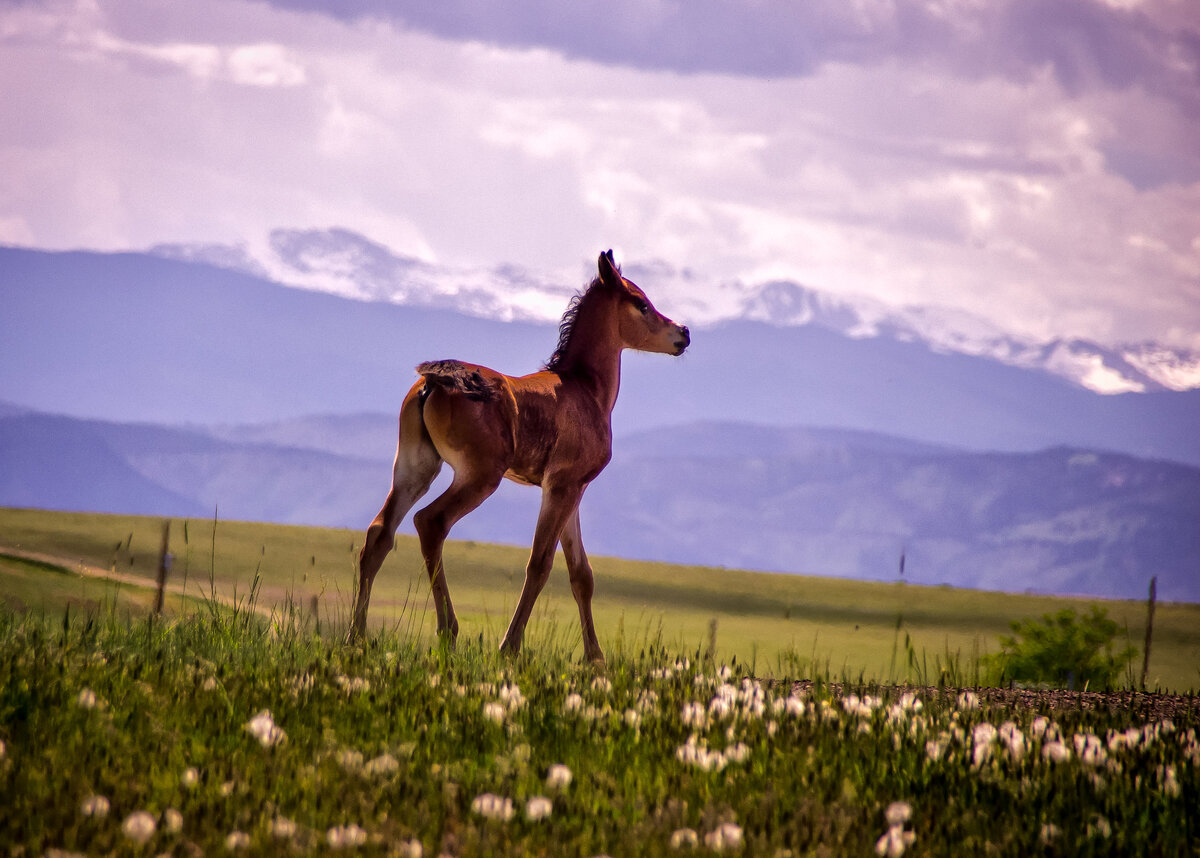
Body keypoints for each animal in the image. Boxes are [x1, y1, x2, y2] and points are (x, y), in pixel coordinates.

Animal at [348, 249, 691, 662]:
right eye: (641, 303)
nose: (683, 333)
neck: (585, 390)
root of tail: (433, 382)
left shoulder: (572, 490)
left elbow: (581, 574)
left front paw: (596, 659)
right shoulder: (562, 486)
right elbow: (540, 564)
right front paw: (509, 647)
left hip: (416, 467)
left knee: (380, 533)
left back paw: (356, 636)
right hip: (479, 477)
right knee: (430, 522)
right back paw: (449, 632)